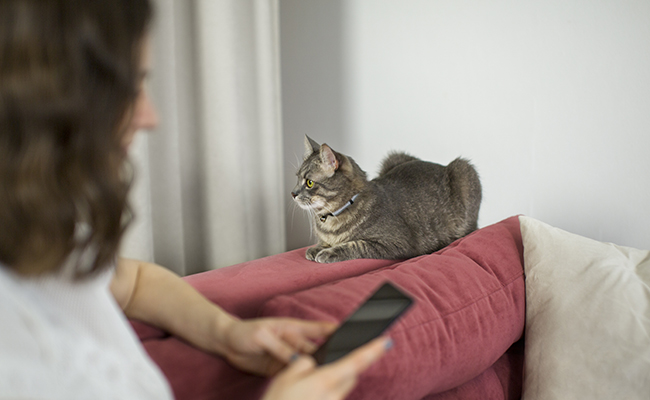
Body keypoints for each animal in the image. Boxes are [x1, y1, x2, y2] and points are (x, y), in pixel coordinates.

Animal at [292, 136, 478, 264]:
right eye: (297, 178)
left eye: (309, 182)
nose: (292, 193)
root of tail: (442, 165)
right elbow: (323, 243)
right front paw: (318, 248)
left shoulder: (395, 243)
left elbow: (357, 245)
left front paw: (329, 252)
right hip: (394, 156)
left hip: (464, 169)